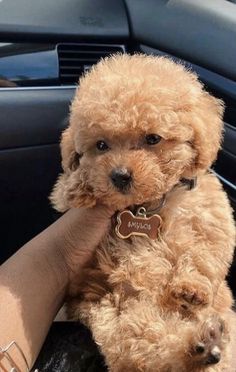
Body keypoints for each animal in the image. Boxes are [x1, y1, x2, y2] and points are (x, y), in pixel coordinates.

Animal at [50, 53, 235, 370]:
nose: (119, 175)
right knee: (153, 348)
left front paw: (191, 288)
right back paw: (198, 345)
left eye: (152, 139)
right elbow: (67, 191)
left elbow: (203, 253)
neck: (148, 205)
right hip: (119, 319)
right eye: (101, 145)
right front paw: (79, 185)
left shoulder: (214, 220)